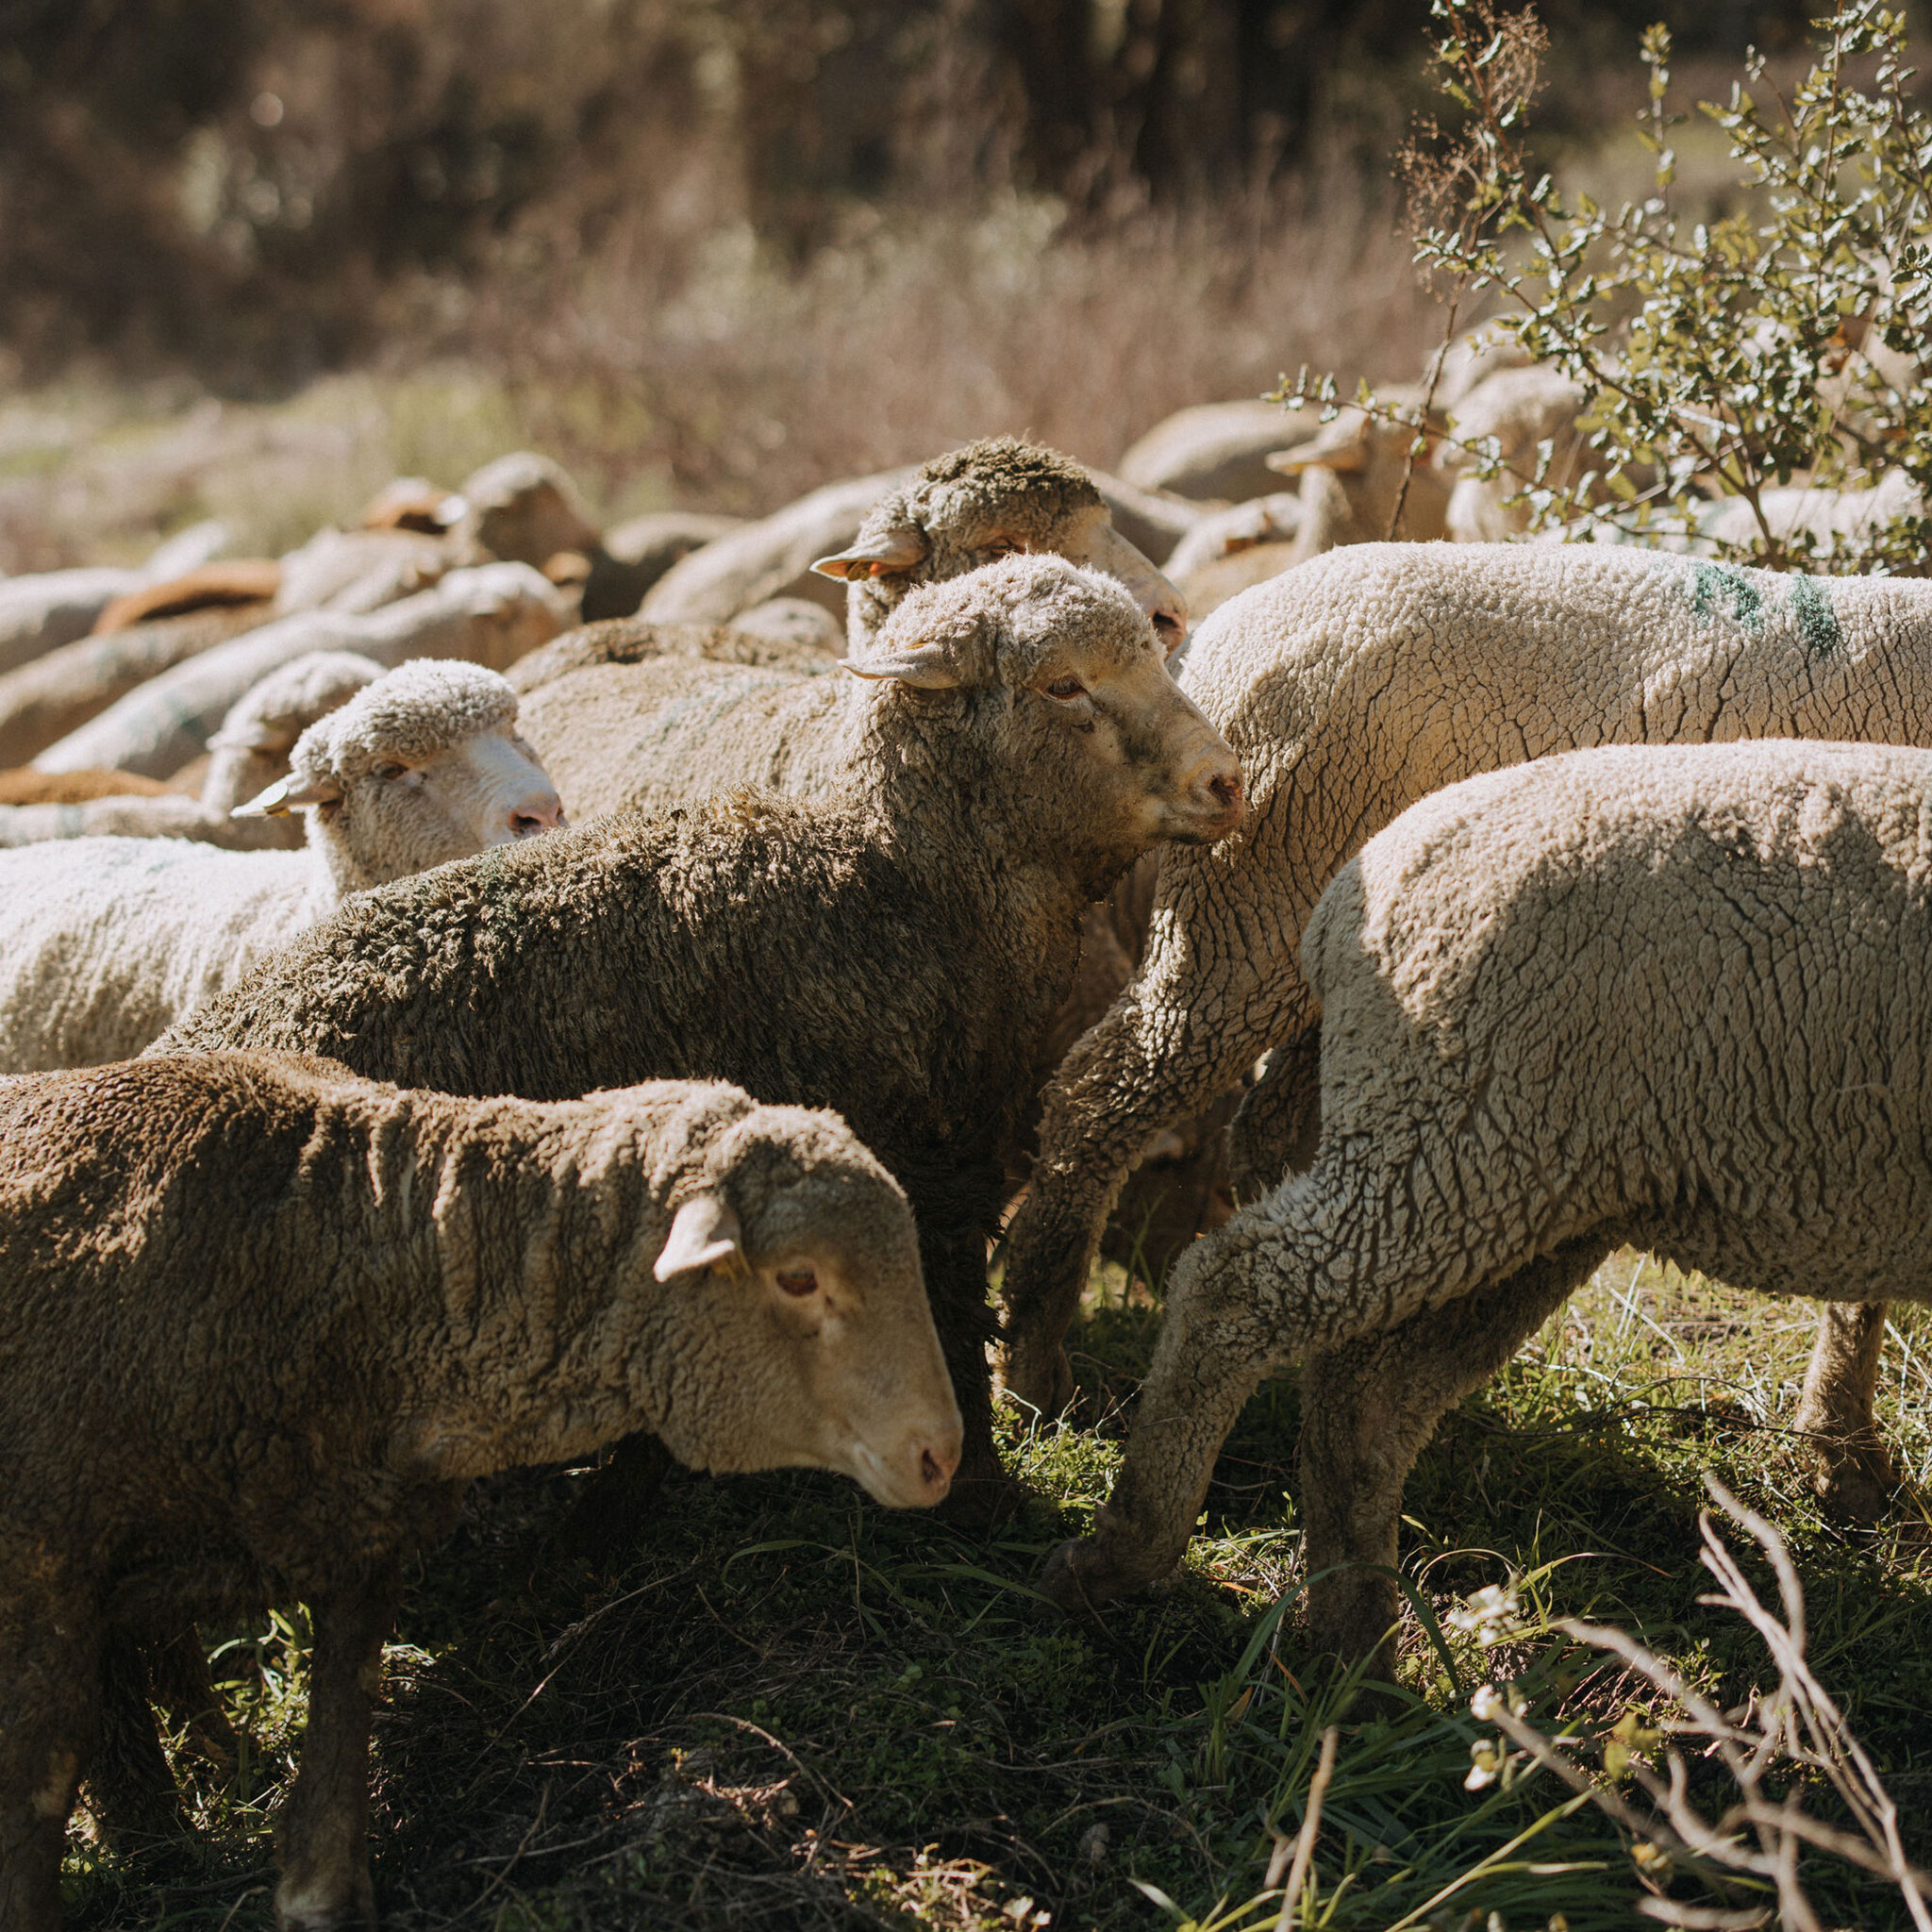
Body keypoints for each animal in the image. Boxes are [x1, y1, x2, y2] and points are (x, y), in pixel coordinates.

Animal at [0, 1051, 960, 1930]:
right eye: (799, 1277)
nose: (940, 1453)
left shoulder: (360, 1537)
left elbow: (344, 1727)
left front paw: (320, 1895)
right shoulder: (44, 1560)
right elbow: (42, 1772)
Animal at [153, 555, 1245, 1521]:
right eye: (1063, 684)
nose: (1227, 781)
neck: (899, 875)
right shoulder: (923, 1173)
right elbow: (939, 1327)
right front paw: (981, 1500)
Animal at [999, 540, 1932, 1516]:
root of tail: (1223, 629)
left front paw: (1843, 1448)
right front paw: (1844, 1448)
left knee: (1271, 1134)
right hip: (1250, 907)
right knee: (1100, 1097)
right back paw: (1037, 1373)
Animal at [1041, 738, 1932, 1666]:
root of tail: (1355, 887)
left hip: (1532, 1186)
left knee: (1369, 1393)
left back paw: (1353, 1643)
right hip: (1453, 1133)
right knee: (1231, 1284)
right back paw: (1122, 1551)